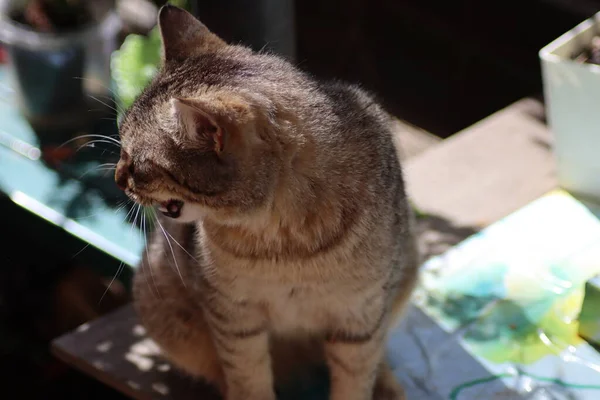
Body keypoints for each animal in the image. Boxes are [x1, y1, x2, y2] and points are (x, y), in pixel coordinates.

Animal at [115, 3, 420, 400]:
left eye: (138, 165)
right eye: (121, 145)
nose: (117, 178)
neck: (283, 242)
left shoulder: (361, 314)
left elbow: (355, 378)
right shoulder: (232, 314)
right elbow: (247, 375)